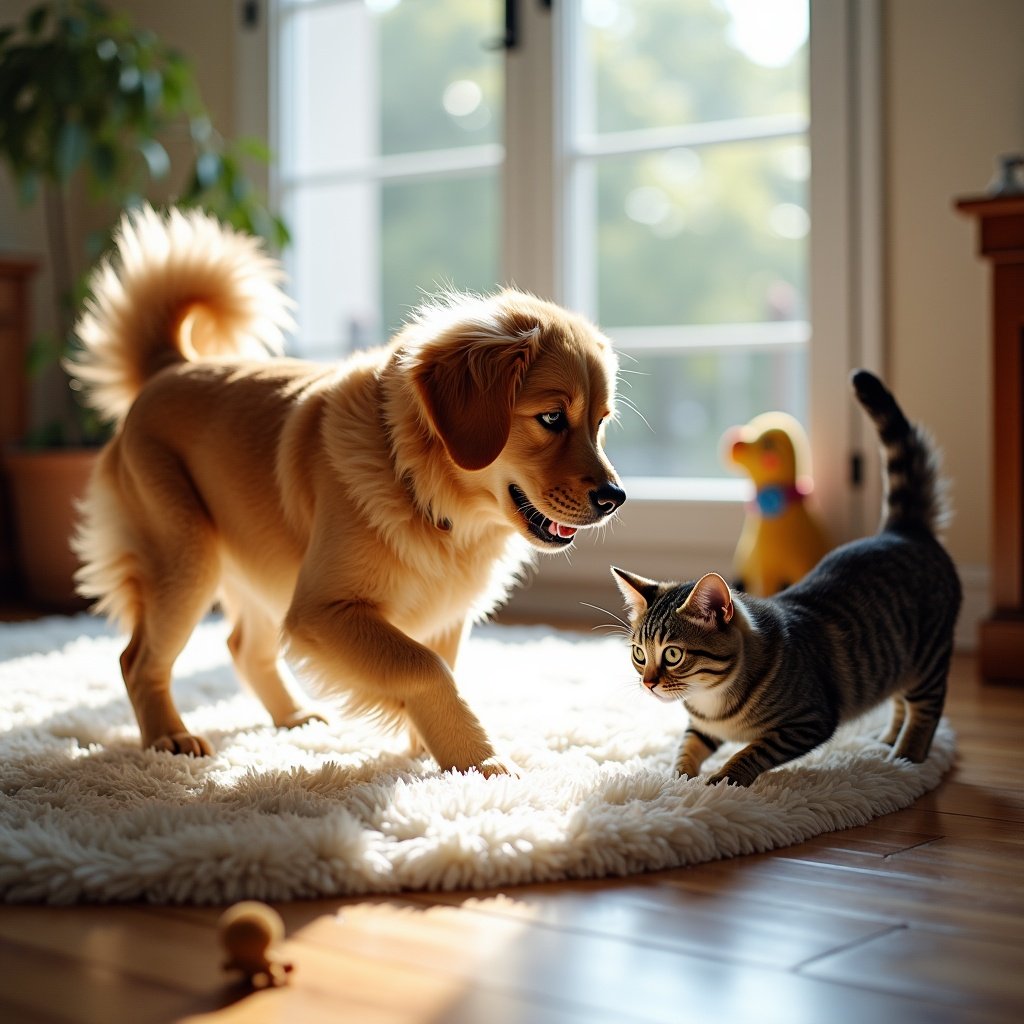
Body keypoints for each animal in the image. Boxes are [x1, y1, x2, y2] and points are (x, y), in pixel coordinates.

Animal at [70, 207, 622, 774]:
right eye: (551, 418)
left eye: (601, 422)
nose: (614, 498)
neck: (422, 492)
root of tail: (171, 366)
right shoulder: (321, 610)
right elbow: (426, 667)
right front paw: (482, 764)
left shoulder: (441, 615)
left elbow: (442, 667)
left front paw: (432, 749)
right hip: (187, 559)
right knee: (137, 659)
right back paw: (169, 737)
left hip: (261, 565)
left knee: (244, 646)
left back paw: (292, 717)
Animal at [614, 372, 958, 786]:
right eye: (638, 654)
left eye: (673, 654)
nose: (648, 682)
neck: (713, 700)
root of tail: (902, 529)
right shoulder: (702, 728)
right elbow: (687, 748)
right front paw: (680, 781)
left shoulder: (807, 721)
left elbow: (750, 751)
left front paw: (721, 782)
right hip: (895, 658)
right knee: (899, 700)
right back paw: (888, 739)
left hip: (929, 655)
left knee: (926, 708)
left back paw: (906, 755)